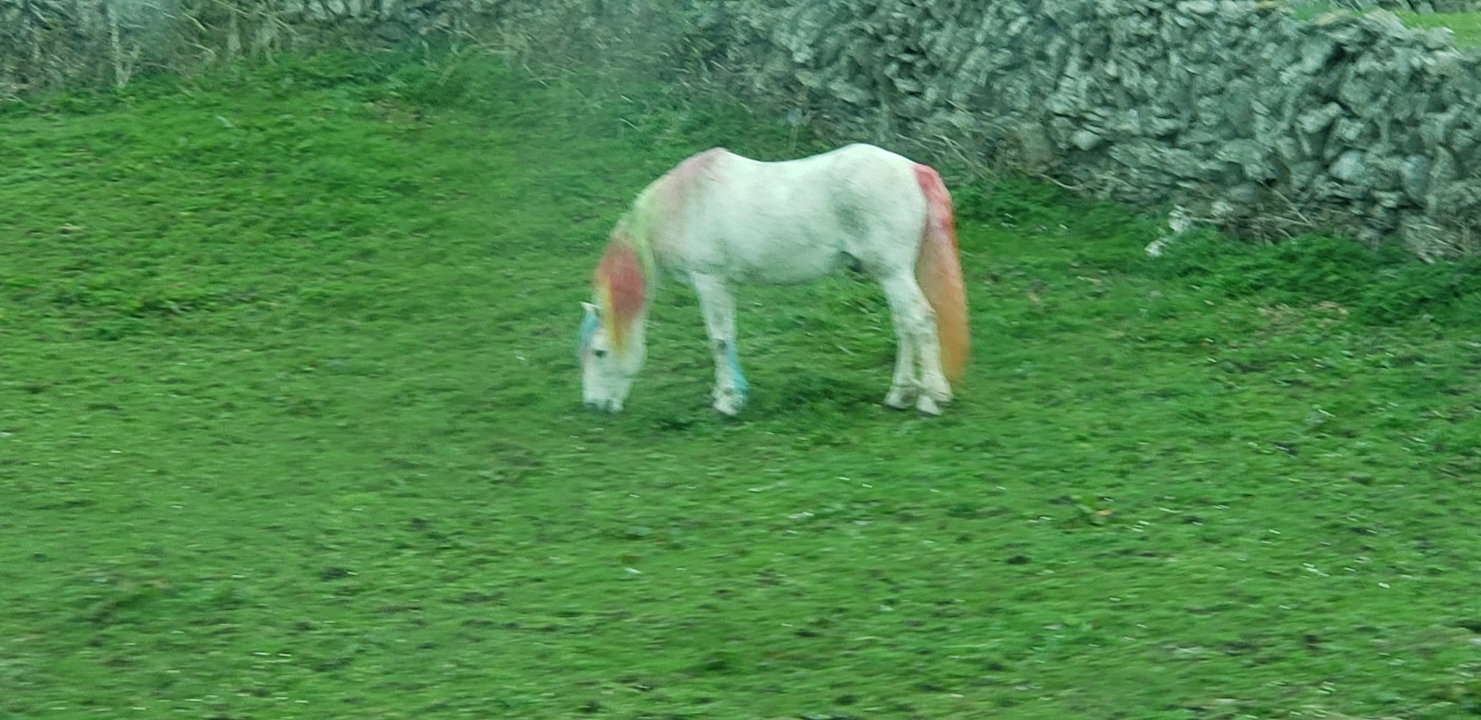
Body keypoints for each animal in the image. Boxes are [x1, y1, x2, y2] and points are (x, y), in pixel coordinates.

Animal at [576, 143, 969, 416]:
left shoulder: (710, 281)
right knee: (905, 325)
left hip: (893, 272)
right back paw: (900, 394)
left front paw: (727, 402)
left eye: (599, 352)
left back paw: (931, 398)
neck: (683, 205)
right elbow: (726, 338)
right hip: (891, 274)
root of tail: (912, 169)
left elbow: (719, 340)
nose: (594, 405)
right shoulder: (724, 284)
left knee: (920, 320)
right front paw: (728, 393)